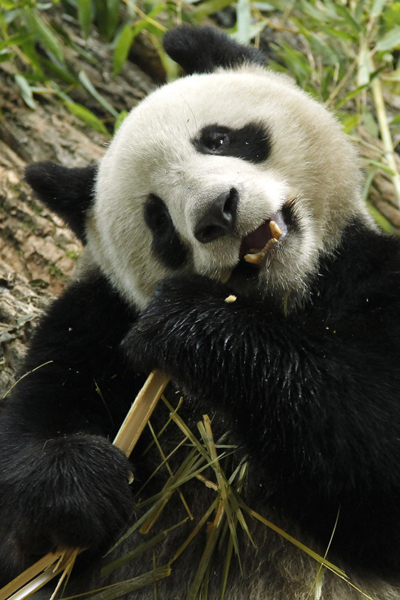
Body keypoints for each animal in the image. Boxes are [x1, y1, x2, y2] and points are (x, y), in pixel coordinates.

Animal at [0, 23, 400, 600]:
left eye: (218, 139)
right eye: (158, 221)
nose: (218, 213)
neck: (286, 293)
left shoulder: (368, 275)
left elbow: (375, 437)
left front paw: (190, 324)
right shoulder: (94, 318)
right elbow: (35, 419)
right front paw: (77, 484)